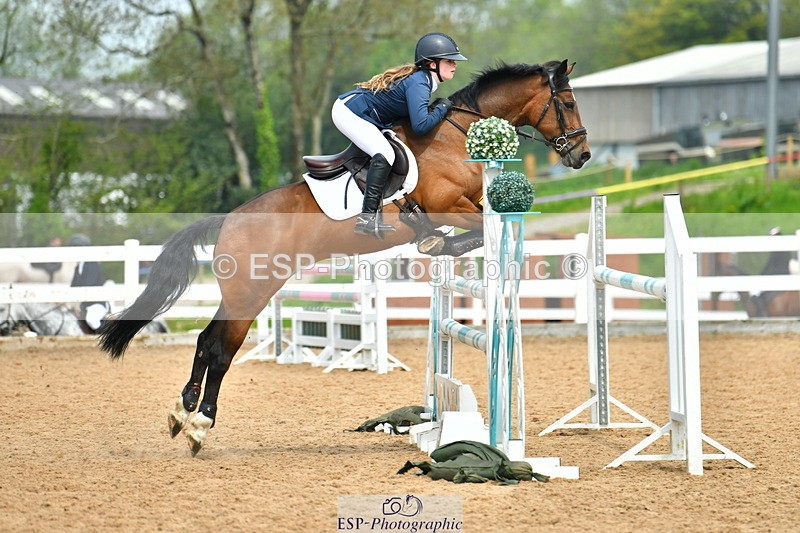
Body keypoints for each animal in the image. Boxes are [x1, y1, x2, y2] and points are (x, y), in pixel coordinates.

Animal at [97, 59, 591, 456]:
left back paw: (181, 413)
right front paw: (444, 243)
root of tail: (228, 221)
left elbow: (466, 236)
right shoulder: (451, 206)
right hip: (252, 293)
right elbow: (475, 228)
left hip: (241, 293)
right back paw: (200, 424)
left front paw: (438, 245)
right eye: (567, 102)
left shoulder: (464, 206)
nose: (583, 154)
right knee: (221, 350)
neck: (455, 138)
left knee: (204, 341)